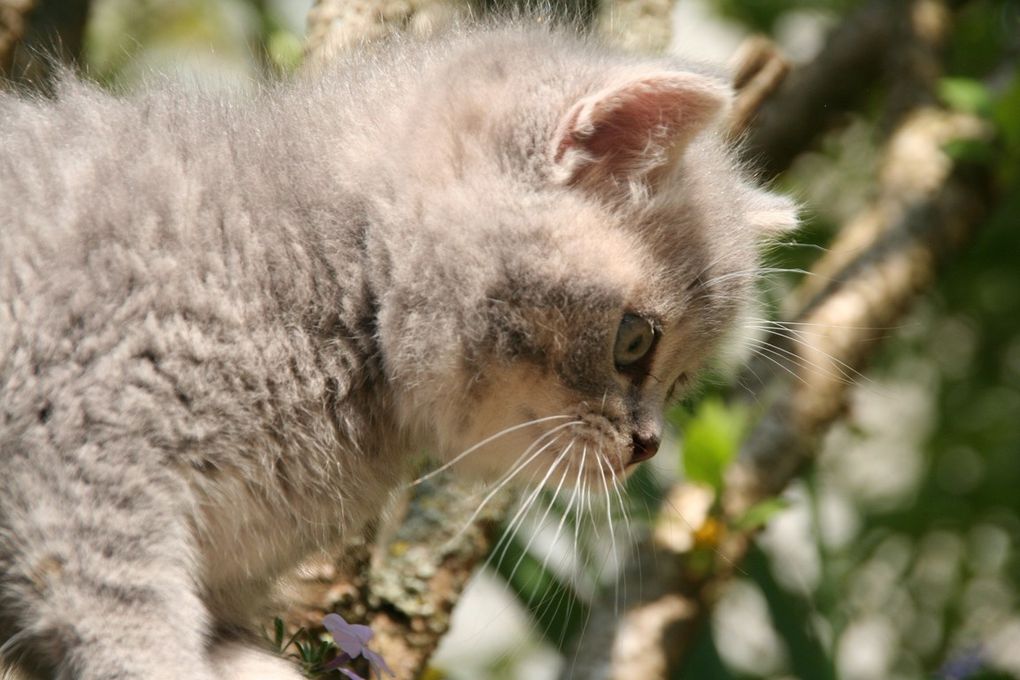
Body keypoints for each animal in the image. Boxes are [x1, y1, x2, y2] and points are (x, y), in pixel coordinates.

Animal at [0, 21, 795, 680]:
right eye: (634, 342)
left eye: (682, 383)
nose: (648, 445)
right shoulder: (84, 449)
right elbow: (125, 618)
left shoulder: (221, 587)